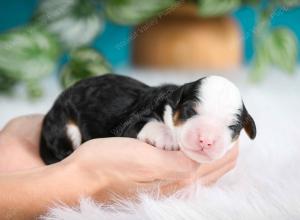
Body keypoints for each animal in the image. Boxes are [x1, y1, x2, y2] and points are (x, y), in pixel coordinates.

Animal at [39, 74, 255, 165]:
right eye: (190, 112)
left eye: (232, 127)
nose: (206, 140)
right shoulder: (128, 123)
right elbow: (147, 123)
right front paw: (167, 137)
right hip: (65, 126)